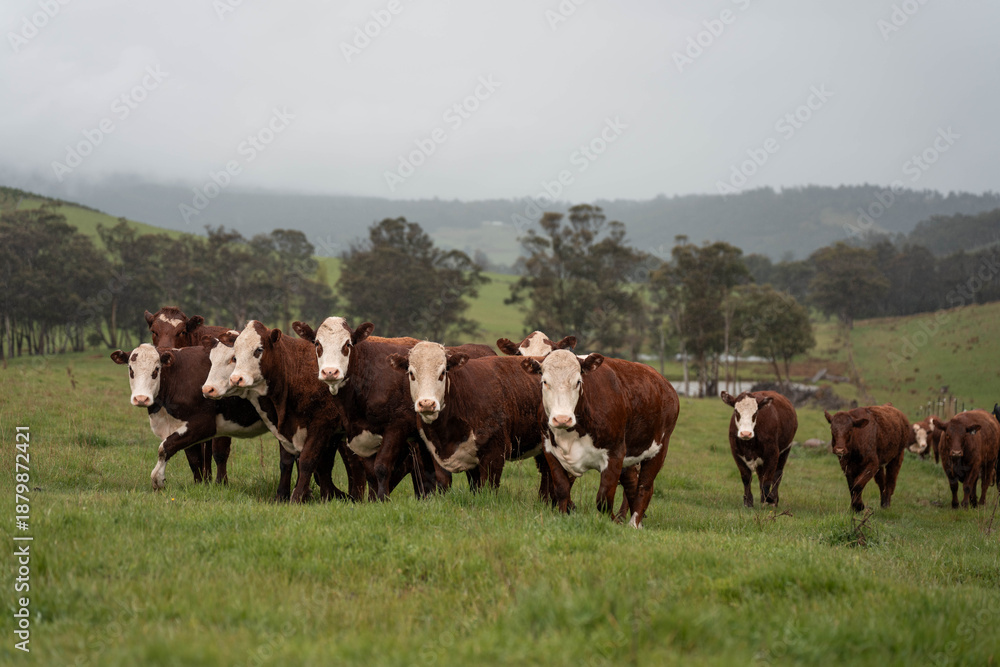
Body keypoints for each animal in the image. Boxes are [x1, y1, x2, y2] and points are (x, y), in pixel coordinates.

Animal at [110, 344, 269, 492]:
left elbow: (165, 447)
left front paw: (158, 480)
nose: (141, 398)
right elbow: (194, 458)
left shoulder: (204, 425)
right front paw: (199, 484)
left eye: (156, 370)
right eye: (131, 370)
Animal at [226, 321, 368, 503]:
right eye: (235, 354)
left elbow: (307, 460)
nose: (236, 379)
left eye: (258, 350)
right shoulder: (285, 427)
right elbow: (286, 462)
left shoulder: (322, 425)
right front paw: (281, 495)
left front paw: (298, 496)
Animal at [291, 317, 495, 500]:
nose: (330, 372)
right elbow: (371, 472)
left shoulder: (396, 428)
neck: (369, 377)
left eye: (347, 344)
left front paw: (383, 498)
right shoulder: (363, 435)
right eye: (317, 343)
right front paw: (374, 500)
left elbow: (381, 467)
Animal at [521, 350, 680, 529]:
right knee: (632, 485)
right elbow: (561, 489)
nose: (562, 419)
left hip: (658, 450)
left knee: (644, 487)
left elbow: (603, 498)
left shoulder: (615, 453)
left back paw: (634, 523)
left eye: (578, 382)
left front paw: (613, 522)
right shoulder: (549, 450)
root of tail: (664, 383)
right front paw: (561, 516)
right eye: (545, 382)